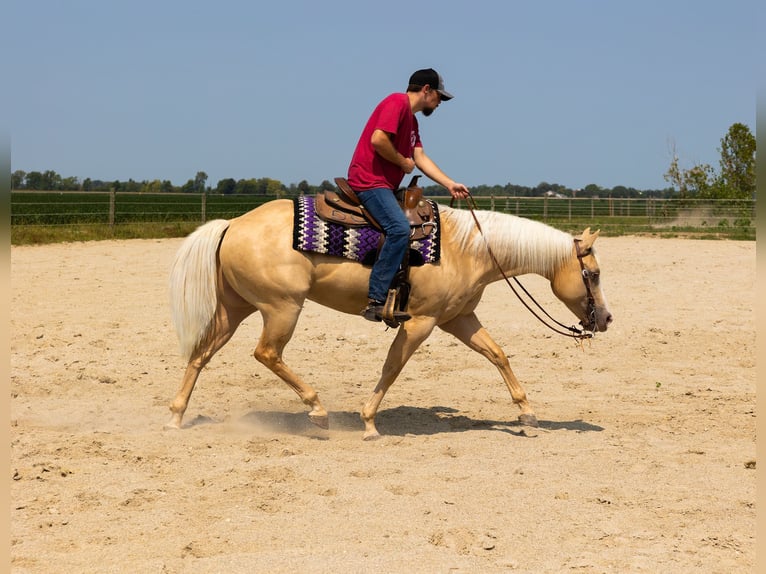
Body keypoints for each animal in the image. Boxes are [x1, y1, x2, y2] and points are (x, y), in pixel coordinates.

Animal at [166, 200, 612, 444]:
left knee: (200, 354)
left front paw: (527, 415)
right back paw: (318, 410)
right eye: (592, 274)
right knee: (266, 353)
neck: (467, 249)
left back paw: (176, 415)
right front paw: (368, 422)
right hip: (282, 308)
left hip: (235, 307)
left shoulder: (459, 318)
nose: (606, 318)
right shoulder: (421, 322)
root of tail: (232, 225)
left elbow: (498, 355)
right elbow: (392, 367)